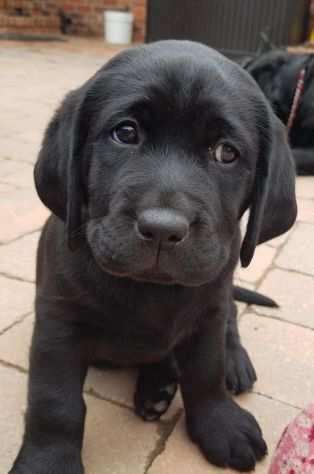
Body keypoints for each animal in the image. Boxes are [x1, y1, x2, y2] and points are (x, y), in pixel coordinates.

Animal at [8, 41, 296, 474]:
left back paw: (223, 364)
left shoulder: (208, 314)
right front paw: (49, 462)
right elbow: (55, 402)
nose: (162, 228)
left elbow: (206, 372)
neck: (150, 289)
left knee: (229, 323)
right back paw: (158, 387)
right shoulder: (57, 322)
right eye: (125, 133)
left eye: (226, 153)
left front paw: (221, 423)